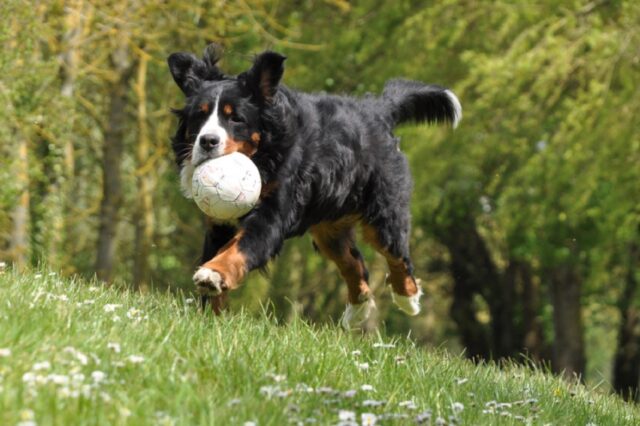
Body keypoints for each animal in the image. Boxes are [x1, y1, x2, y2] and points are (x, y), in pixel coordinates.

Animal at [168, 44, 462, 330]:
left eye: (235, 118)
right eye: (199, 116)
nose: (207, 141)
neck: (264, 155)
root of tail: (377, 110)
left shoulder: (271, 216)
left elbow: (238, 249)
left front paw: (213, 274)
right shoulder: (220, 222)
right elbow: (217, 254)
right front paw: (210, 315)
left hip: (384, 212)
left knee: (398, 256)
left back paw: (407, 298)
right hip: (329, 227)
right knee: (354, 263)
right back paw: (357, 310)